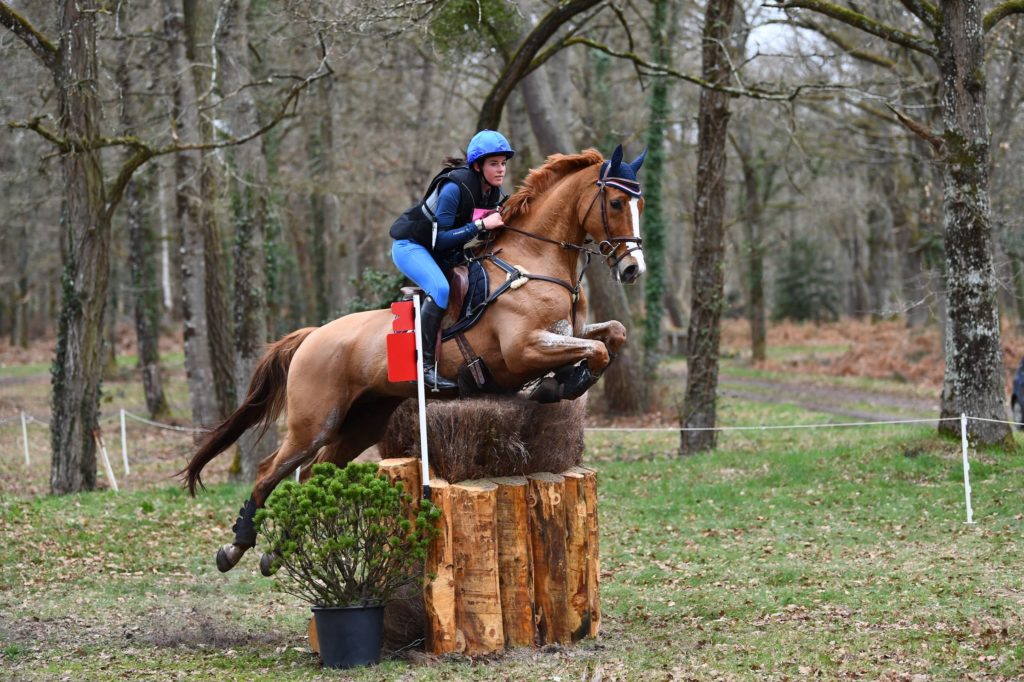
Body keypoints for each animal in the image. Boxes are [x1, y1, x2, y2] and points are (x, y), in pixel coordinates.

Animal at [183, 146, 643, 569]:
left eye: (639, 204)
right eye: (616, 203)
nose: (633, 270)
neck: (533, 262)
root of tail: (314, 335)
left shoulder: (567, 334)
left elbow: (612, 336)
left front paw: (559, 382)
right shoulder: (522, 349)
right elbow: (597, 350)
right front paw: (561, 383)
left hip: (361, 422)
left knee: (313, 473)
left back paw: (278, 551)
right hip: (314, 422)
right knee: (269, 471)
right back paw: (236, 547)